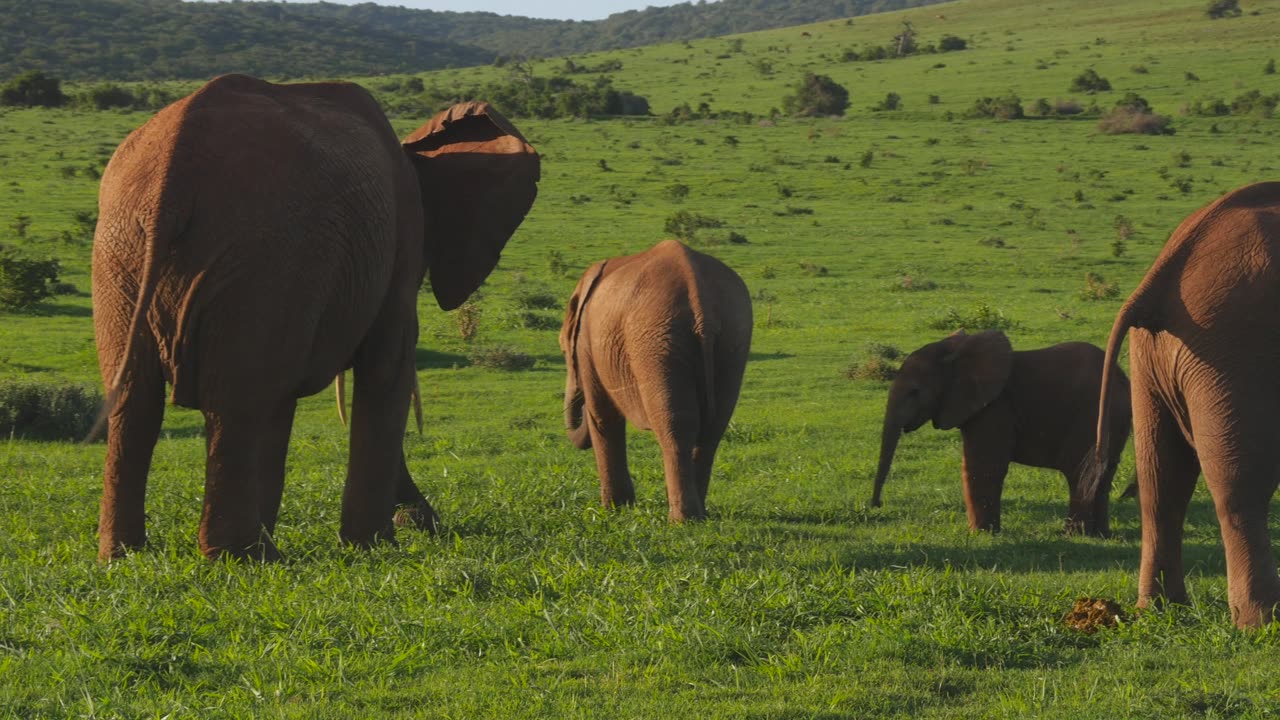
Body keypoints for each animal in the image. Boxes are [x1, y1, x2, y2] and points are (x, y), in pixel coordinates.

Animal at [91, 74, 540, 561]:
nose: (425, 522)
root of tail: (170, 180)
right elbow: (387, 368)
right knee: (235, 401)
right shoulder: (396, 244)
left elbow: (281, 401)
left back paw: (129, 555)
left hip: (122, 252)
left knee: (138, 399)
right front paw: (375, 546)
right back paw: (245, 557)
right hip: (260, 254)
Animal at [558, 238, 747, 517]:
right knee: (714, 427)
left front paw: (613, 509)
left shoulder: (587, 344)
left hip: (655, 339)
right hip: (732, 337)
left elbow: (603, 417)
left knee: (675, 425)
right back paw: (699, 513)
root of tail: (700, 296)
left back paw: (682, 519)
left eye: (562, 349)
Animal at [870, 327, 1131, 535]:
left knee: (1080, 472)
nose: (877, 504)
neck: (954, 351)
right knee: (1104, 473)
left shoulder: (995, 406)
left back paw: (1073, 534)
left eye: (914, 392)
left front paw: (980, 534)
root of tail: (1121, 377)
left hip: (1090, 416)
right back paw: (1100, 535)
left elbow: (983, 465)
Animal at [1085, 181, 1280, 625]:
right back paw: (1259, 622)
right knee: (1240, 488)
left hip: (1157, 354)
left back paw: (1159, 609)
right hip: (1236, 348)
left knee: (1160, 480)